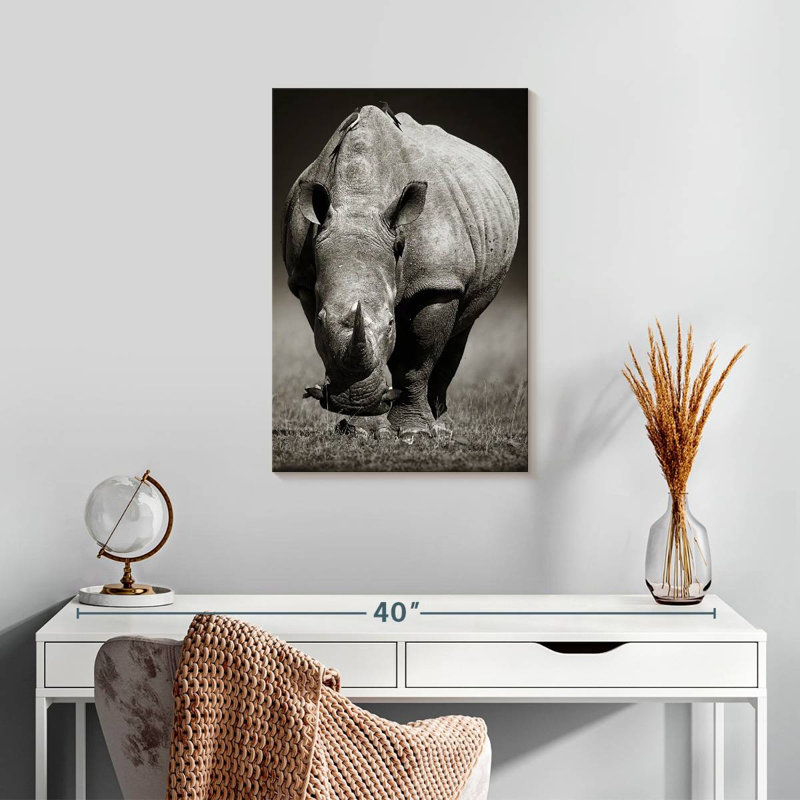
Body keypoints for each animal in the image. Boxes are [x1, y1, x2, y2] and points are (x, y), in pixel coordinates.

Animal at [282, 103, 519, 440]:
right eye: (320, 319)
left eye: (391, 323)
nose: (355, 401)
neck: (360, 202)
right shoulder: (303, 281)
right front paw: (361, 428)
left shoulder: (437, 282)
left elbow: (416, 361)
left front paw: (413, 432)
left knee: (461, 329)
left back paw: (438, 424)